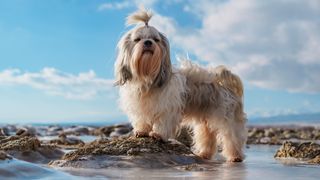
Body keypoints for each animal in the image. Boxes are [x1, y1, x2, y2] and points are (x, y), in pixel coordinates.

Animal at [115, 8, 248, 162]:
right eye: (137, 39)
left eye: (156, 39)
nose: (148, 42)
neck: (148, 77)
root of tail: (223, 83)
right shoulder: (141, 106)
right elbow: (142, 119)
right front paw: (142, 131)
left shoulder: (167, 107)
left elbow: (163, 121)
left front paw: (158, 134)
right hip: (206, 119)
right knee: (207, 136)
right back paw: (204, 154)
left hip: (226, 116)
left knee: (232, 136)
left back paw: (235, 156)